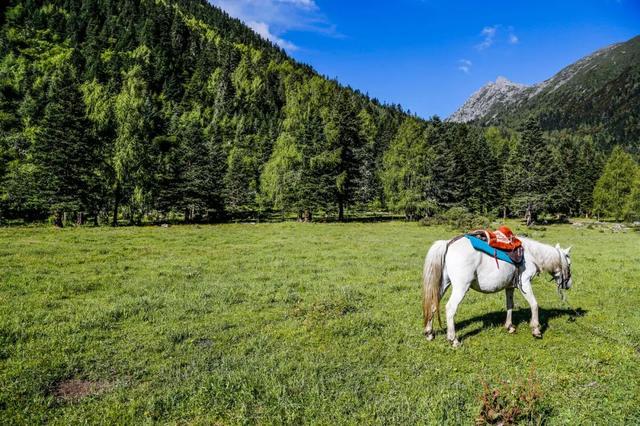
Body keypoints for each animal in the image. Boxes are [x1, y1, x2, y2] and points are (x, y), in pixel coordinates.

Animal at [422, 236, 572, 346]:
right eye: (569, 264)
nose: (569, 284)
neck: (531, 255)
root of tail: (448, 244)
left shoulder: (509, 287)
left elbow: (510, 305)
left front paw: (509, 326)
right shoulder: (524, 283)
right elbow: (534, 304)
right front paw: (536, 330)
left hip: (443, 285)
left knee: (433, 305)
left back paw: (429, 333)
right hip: (461, 287)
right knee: (450, 308)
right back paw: (453, 340)